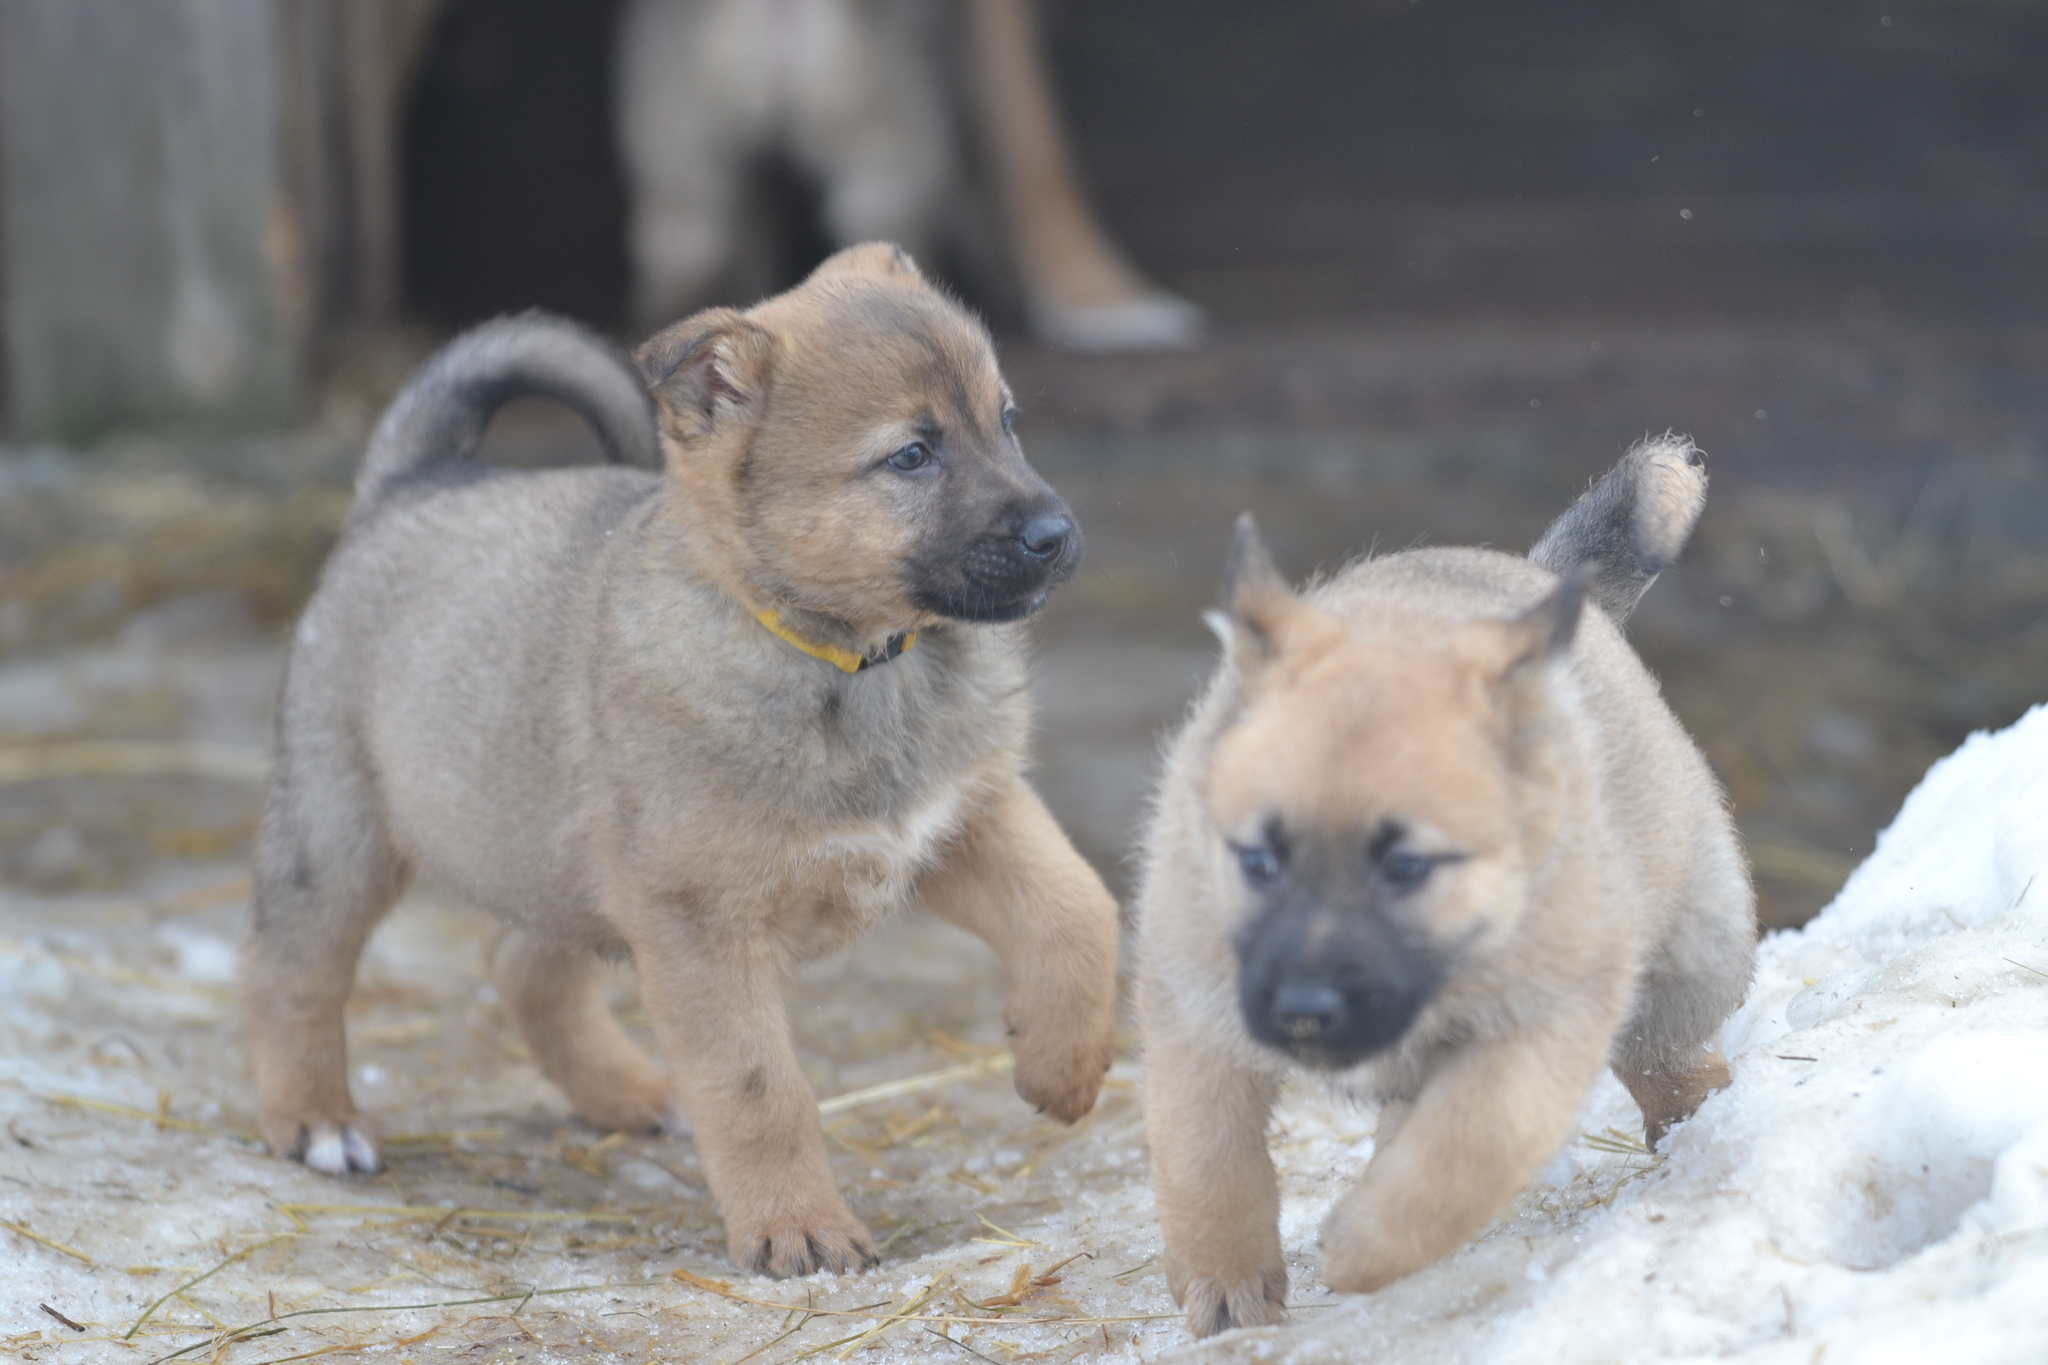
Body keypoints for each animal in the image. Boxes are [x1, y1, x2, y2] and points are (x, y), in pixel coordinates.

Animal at [251, 242, 1138, 1285]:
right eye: (911, 456)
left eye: (1005, 419)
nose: (1057, 536)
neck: (853, 664)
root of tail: (414, 484)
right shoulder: (702, 925)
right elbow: (760, 1089)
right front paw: (800, 1229)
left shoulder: (967, 818)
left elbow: (1078, 906)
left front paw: (1062, 1066)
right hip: (339, 831)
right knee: (292, 969)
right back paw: (315, 1120)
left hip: (562, 857)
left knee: (523, 966)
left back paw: (633, 1091)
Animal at [1130, 444, 1753, 1342]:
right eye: (1258, 859)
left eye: (1407, 866)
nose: (1303, 1011)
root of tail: (1542, 574)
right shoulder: (1193, 1008)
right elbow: (1205, 1155)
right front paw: (1226, 1279)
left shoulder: (1540, 1029)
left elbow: (1464, 1152)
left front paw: (1363, 1245)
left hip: (1690, 956)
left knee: (1672, 1058)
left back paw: (1697, 1131)